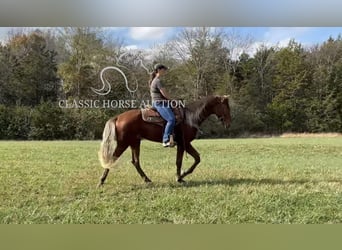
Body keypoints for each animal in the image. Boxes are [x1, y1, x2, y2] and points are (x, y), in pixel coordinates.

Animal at [97, 94, 231, 187]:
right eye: (225, 107)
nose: (228, 123)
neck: (189, 118)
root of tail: (118, 117)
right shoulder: (183, 143)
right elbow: (180, 161)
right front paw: (179, 177)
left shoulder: (185, 144)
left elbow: (196, 158)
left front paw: (182, 175)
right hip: (123, 143)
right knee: (112, 159)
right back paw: (101, 181)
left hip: (134, 142)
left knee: (135, 162)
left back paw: (147, 180)